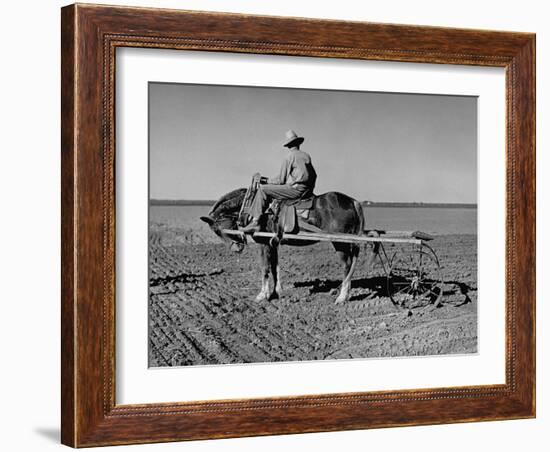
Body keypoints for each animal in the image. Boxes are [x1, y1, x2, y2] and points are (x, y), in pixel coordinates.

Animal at [201, 187, 374, 304]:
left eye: (218, 230)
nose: (236, 248)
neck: (254, 208)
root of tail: (352, 202)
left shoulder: (264, 243)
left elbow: (265, 268)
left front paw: (262, 295)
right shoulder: (273, 244)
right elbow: (274, 267)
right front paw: (276, 292)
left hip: (339, 242)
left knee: (347, 266)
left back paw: (342, 297)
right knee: (351, 265)